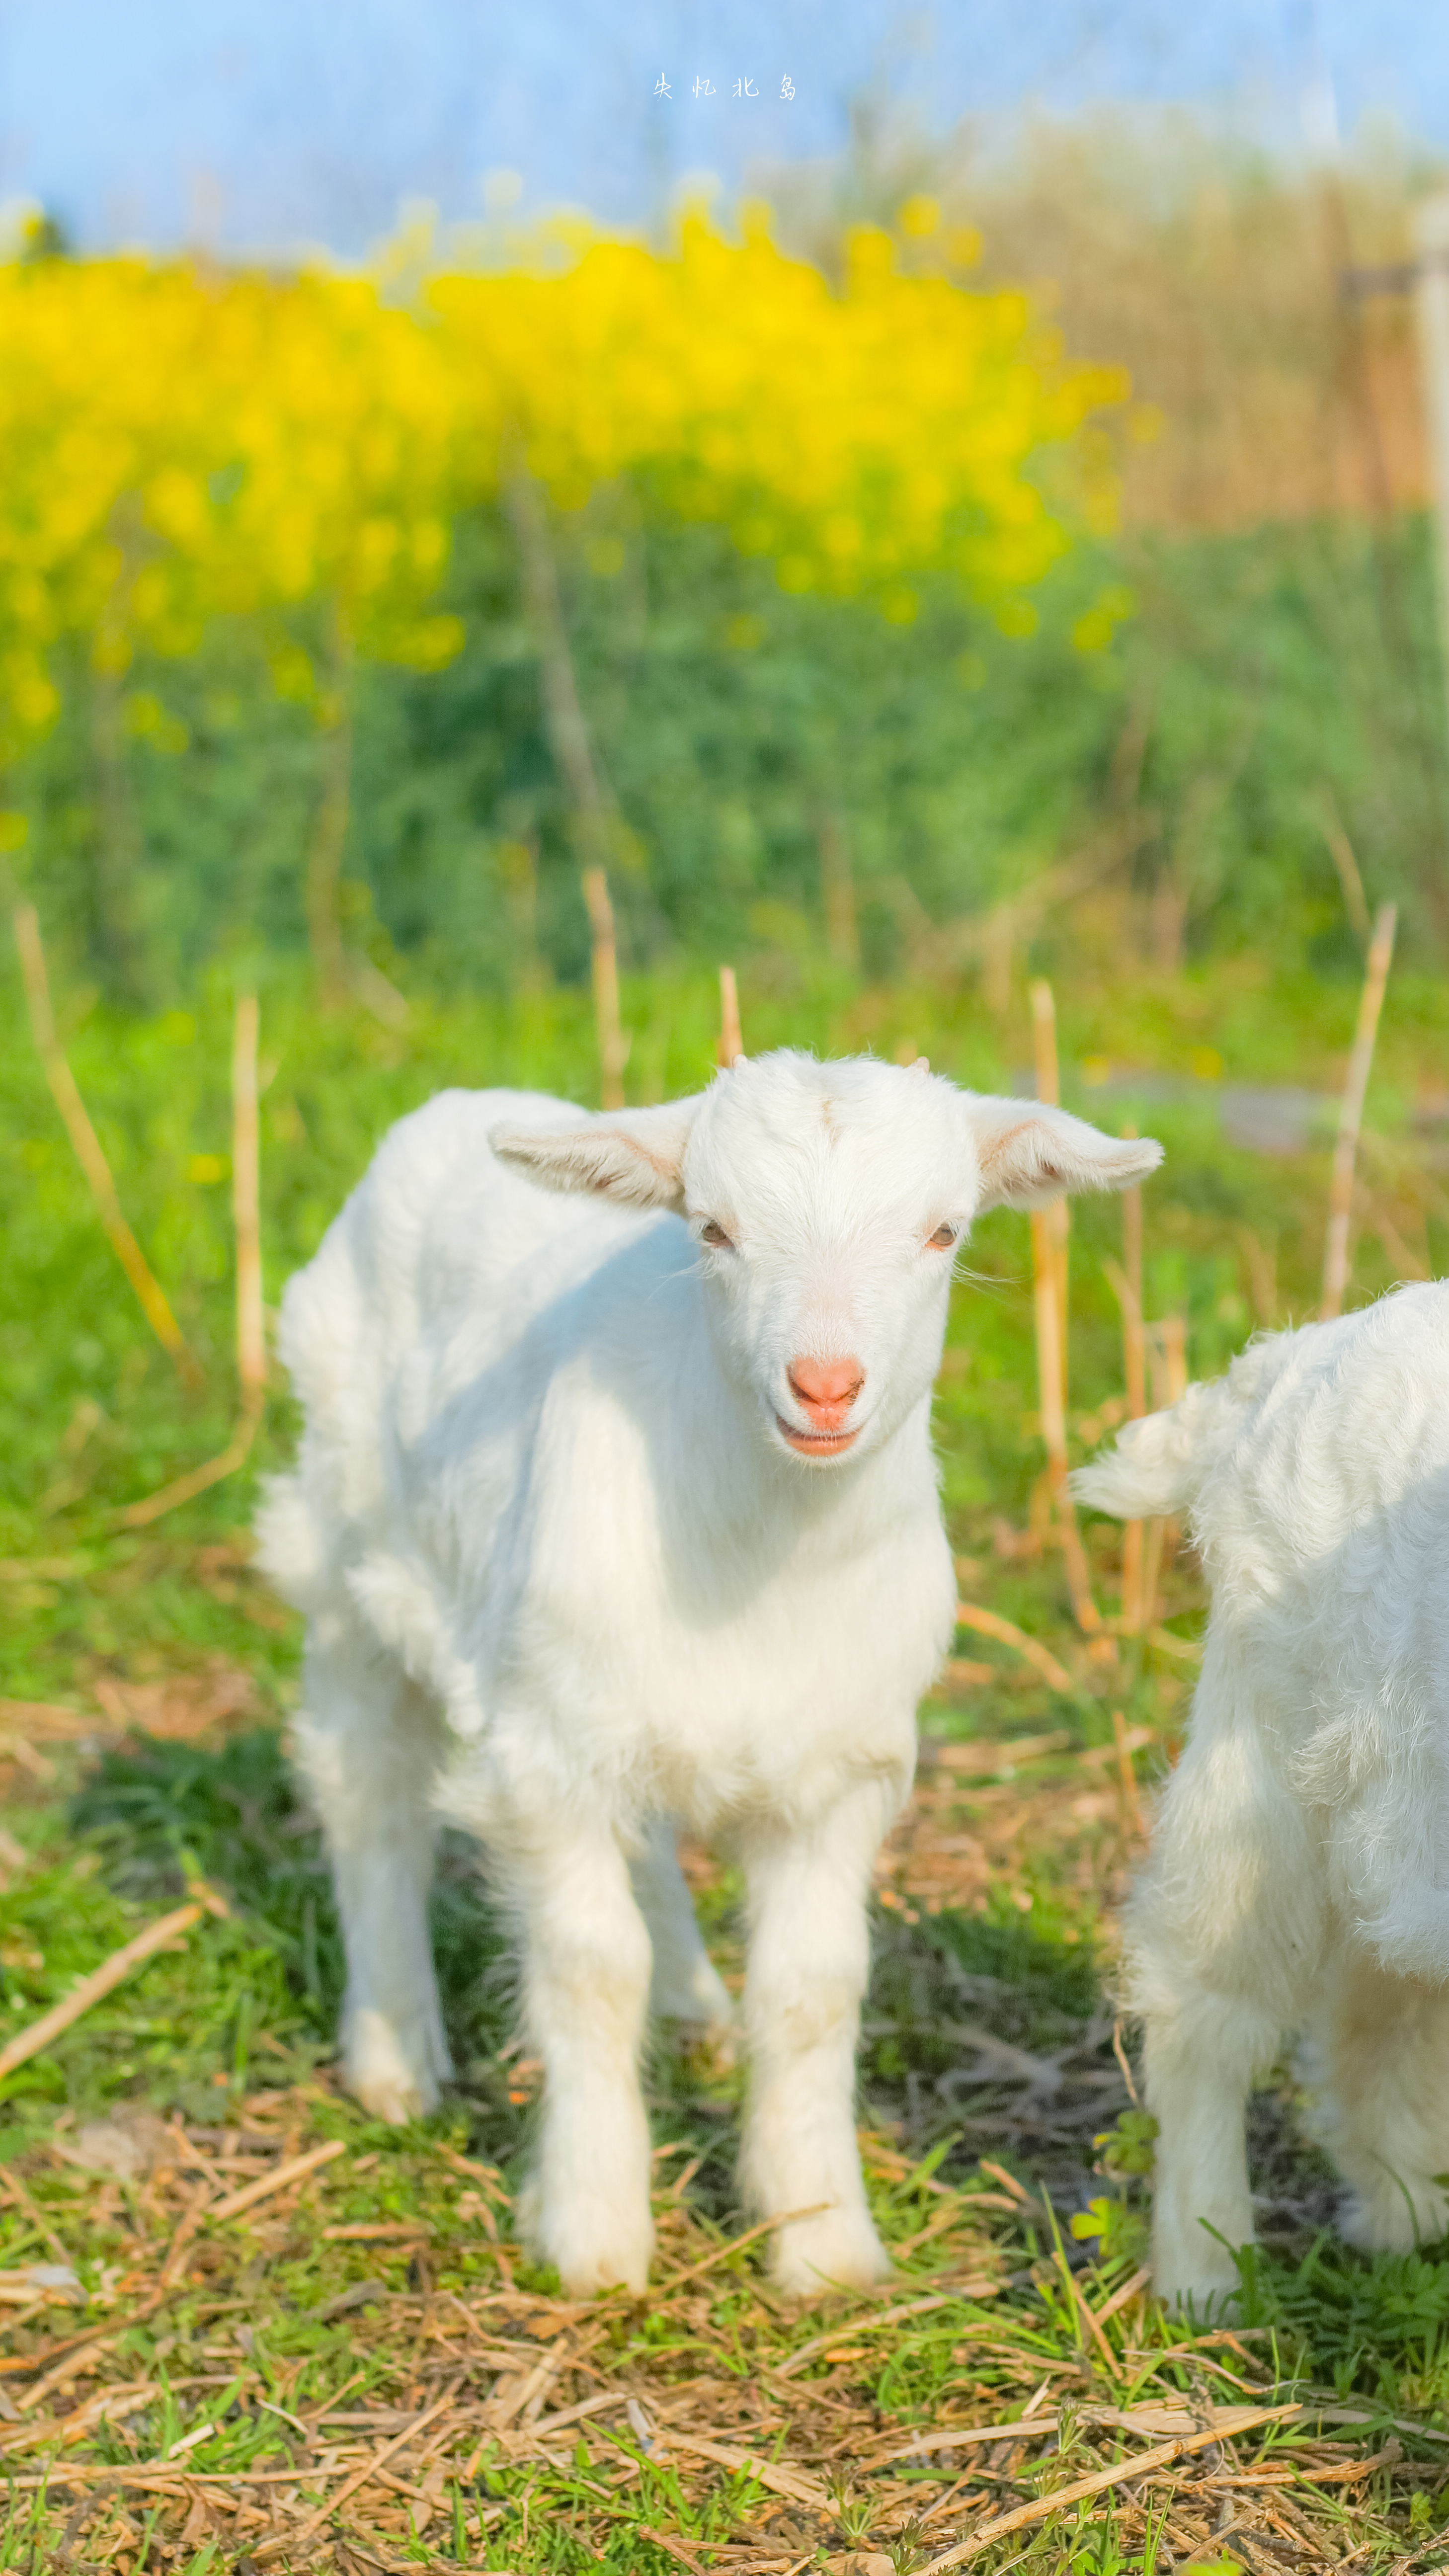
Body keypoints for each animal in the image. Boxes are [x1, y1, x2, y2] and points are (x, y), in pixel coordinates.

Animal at [259, 1046, 1155, 2298]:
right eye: (714, 1229)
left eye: (942, 1231)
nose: (823, 1385)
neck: (762, 1555)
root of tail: (463, 1102)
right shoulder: (546, 1755)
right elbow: (590, 1971)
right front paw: (591, 2237)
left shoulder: (838, 1771)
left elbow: (813, 1990)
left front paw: (822, 2241)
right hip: (346, 1553)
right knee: (364, 1784)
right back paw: (393, 2055)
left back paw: (695, 2010)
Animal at [1072, 1288, 1449, 2318]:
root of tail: (1279, 1361)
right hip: (1264, 1767)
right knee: (1203, 2007)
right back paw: (1207, 2277)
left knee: (1378, 2008)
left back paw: (1405, 2218)